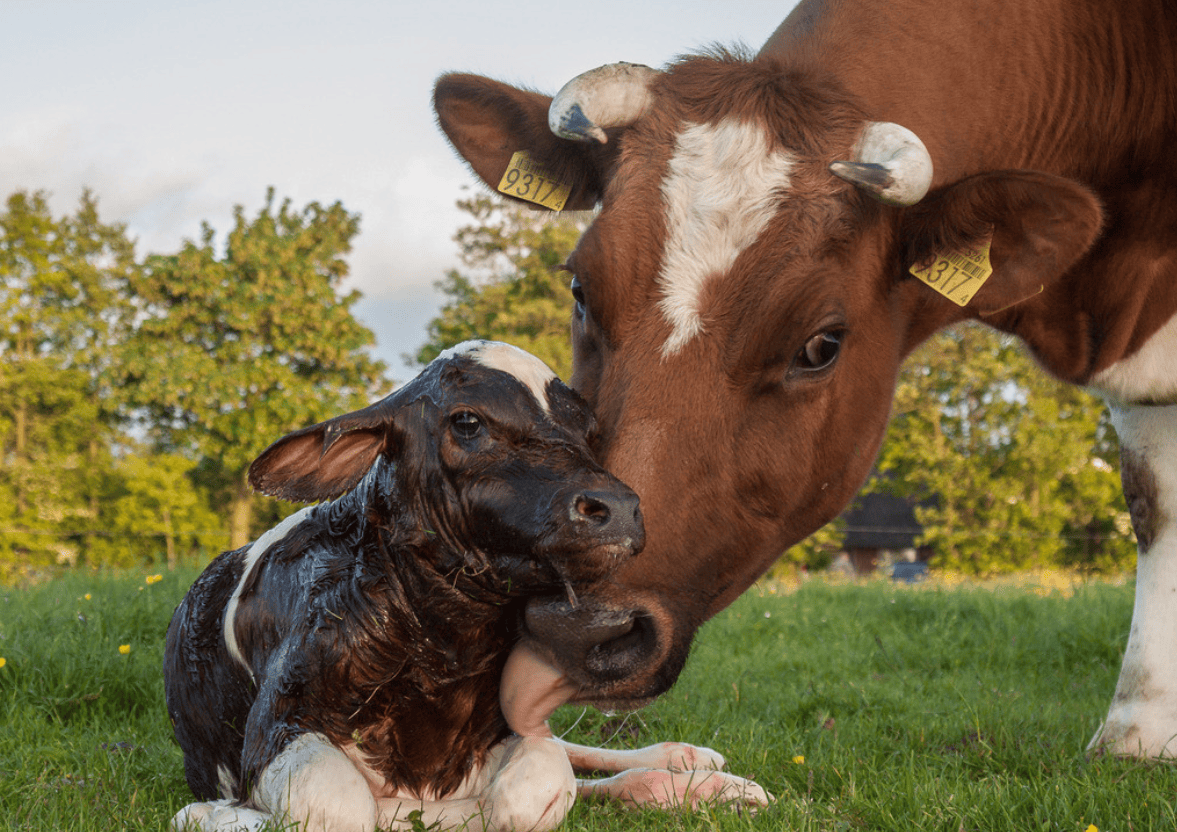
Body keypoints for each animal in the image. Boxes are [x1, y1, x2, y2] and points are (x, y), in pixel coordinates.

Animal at [163, 341, 644, 828]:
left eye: (589, 430)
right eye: (467, 421)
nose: (619, 507)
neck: (442, 649)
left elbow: (539, 784)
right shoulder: (276, 722)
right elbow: (337, 804)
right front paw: (212, 813)